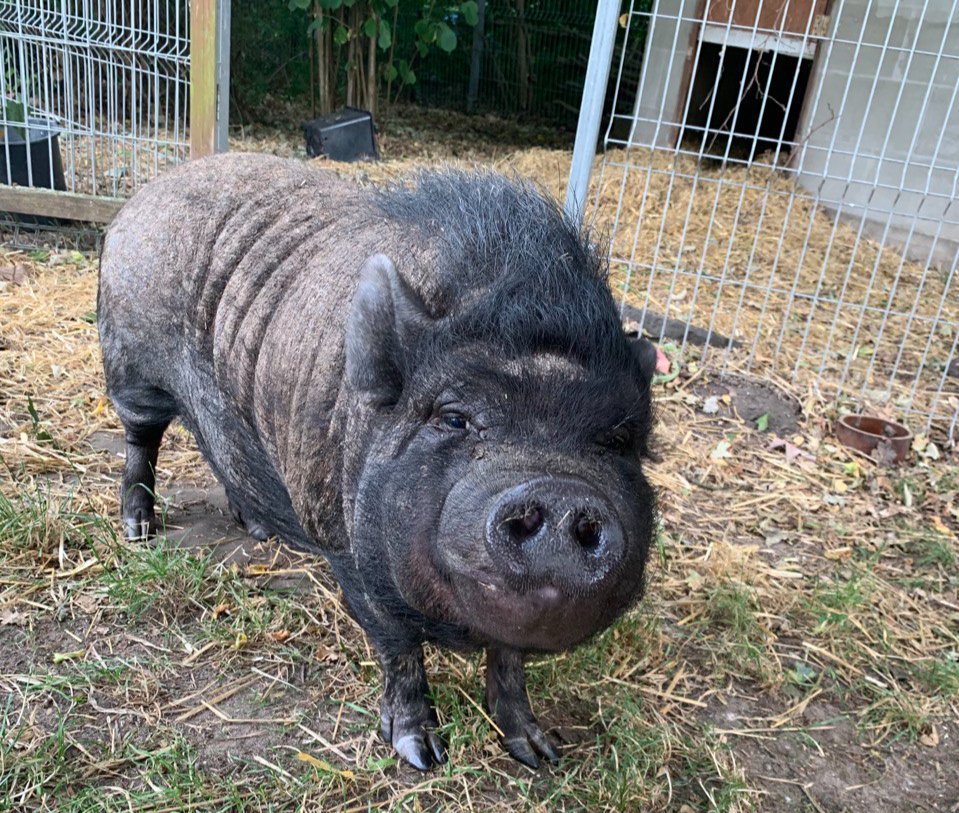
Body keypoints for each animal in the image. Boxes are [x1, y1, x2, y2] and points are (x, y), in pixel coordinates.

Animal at [99, 152, 660, 768]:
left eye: (618, 439)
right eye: (453, 418)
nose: (561, 492)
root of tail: (147, 192)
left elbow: (510, 662)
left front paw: (541, 754)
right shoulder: (346, 547)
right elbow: (398, 646)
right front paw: (422, 755)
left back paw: (258, 529)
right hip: (130, 364)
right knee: (141, 438)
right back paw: (138, 531)